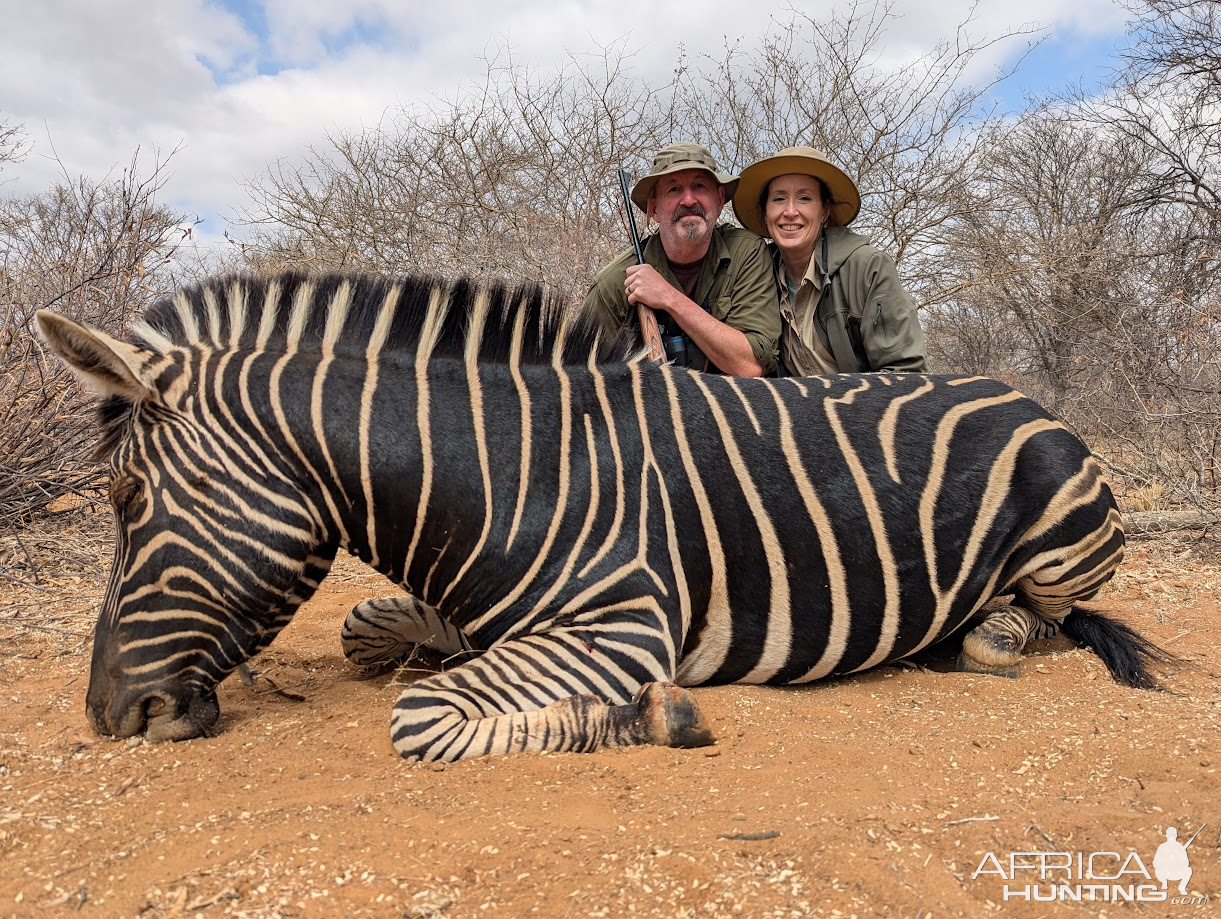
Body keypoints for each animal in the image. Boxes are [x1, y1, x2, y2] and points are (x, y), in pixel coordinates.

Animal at [35, 268, 1162, 756]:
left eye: (125, 499)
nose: (105, 715)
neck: (505, 473)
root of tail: (1019, 392)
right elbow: (366, 632)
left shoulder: (619, 625)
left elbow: (419, 717)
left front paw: (652, 714)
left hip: (1062, 534)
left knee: (1041, 618)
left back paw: (979, 634)